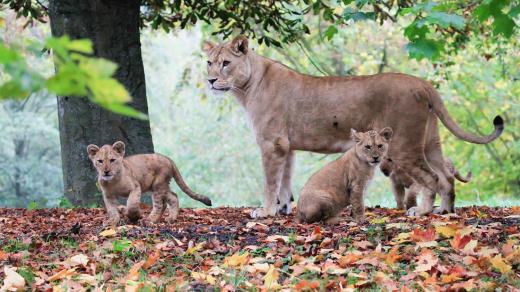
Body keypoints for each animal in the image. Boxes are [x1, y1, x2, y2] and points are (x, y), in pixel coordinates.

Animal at [203, 35, 504, 218]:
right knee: (446, 176)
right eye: (209, 62)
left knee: (431, 179)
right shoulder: (287, 146)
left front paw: (264, 212)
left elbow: (270, 182)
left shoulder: (272, 144)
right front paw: (284, 208)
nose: (210, 80)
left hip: (404, 144)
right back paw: (445, 211)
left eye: (226, 63)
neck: (247, 85)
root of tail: (422, 83)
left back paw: (422, 212)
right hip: (430, 141)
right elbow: (284, 182)